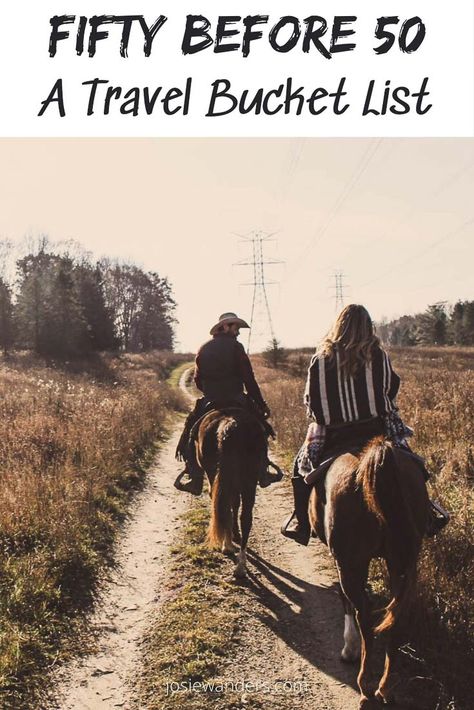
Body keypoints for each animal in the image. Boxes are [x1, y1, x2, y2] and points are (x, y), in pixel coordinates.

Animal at [193, 406, 266, 580]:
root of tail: (230, 423)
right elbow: (235, 504)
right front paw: (234, 535)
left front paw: (230, 540)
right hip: (249, 480)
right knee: (246, 517)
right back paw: (240, 566)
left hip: (215, 473)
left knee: (224, 507)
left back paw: (228, 548)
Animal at [310, 436, 428, 708]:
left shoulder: (342, 561)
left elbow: (345, 599)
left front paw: (349, 649)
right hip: (400, 562)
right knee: (396, 614)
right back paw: (384, 688)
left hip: (351, 565)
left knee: (364, 614)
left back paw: (365, 685)